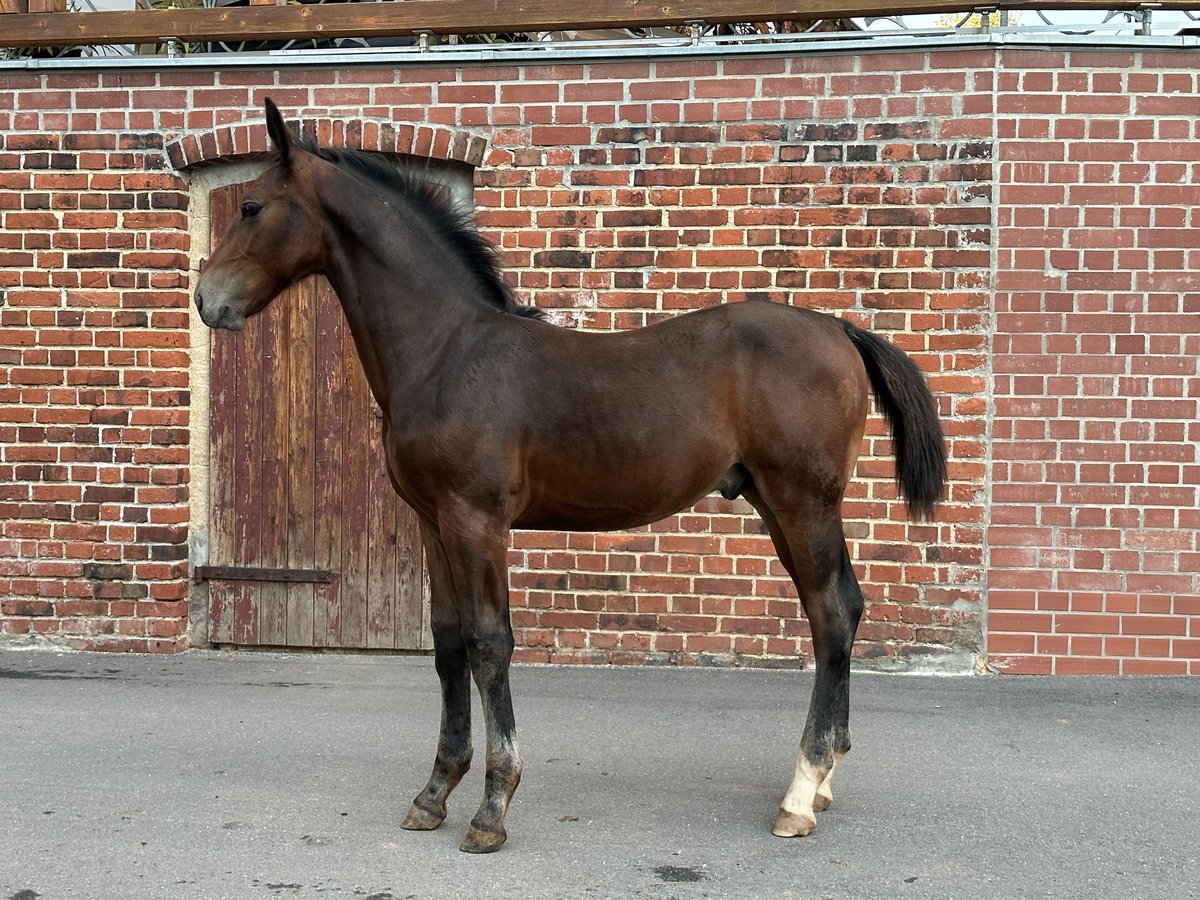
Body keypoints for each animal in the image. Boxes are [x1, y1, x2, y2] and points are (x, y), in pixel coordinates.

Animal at [194, 102, 945, 854]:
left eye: (252, 206)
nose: (206, 300)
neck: (446, 354)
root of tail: (839, 328)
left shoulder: (476, 520)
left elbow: (489, 643)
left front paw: (492, 808)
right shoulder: (433, 522)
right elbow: (447, 643)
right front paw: (434, 793)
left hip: (802, 502)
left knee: (830, 615)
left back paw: (800, 792)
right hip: (776, 503)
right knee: (841, 608)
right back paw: (822, 781)